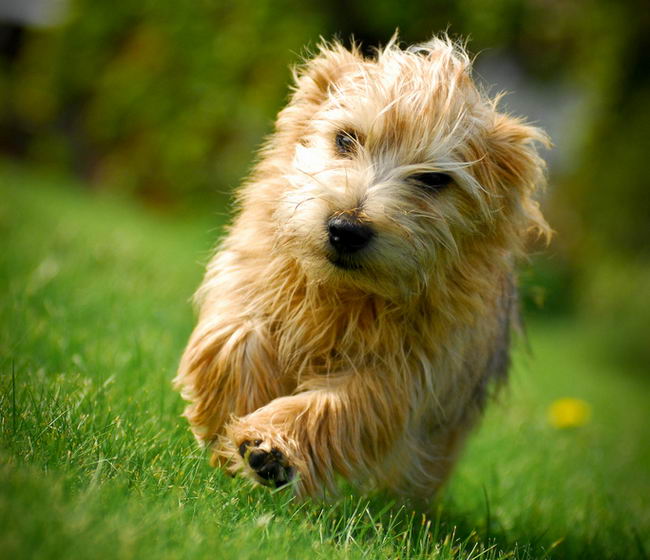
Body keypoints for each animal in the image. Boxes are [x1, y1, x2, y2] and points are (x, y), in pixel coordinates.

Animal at [172, 37, 548, 500]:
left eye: (434, 179)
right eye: (345, 139)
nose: (346, 229)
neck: (345, 293)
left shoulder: (409, 372)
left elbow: (343, 403)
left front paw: (274, 446)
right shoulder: (248, 277)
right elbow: (235, 338)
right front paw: (228, 415)